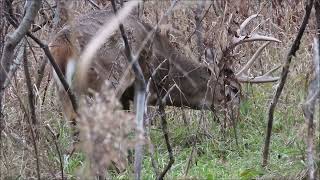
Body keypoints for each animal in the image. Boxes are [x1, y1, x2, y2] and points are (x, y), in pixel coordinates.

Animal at [49, 7, 280, 123]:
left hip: (63, 89)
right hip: (111, 78)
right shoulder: (143, 87)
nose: (241, 116)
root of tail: (63, 42)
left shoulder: (127, 97)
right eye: (234, 89)